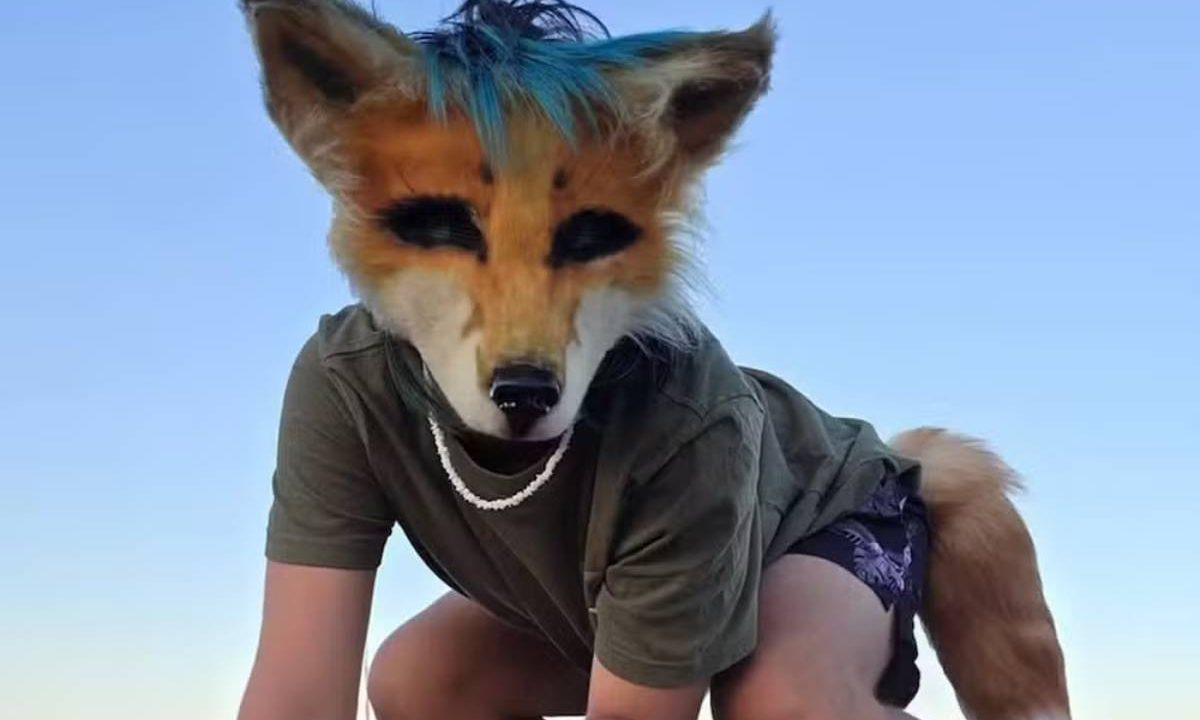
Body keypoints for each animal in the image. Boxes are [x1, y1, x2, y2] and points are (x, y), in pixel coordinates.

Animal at [238, 2, 1071, 719]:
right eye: (442, 226)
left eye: (589, 237)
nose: (525, 392)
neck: (504, 462)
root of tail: (901, 459)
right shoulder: (320, 393)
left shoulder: (705, 462)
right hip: (547, 647)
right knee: (417, 673)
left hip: (842, 571)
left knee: (796, 683)